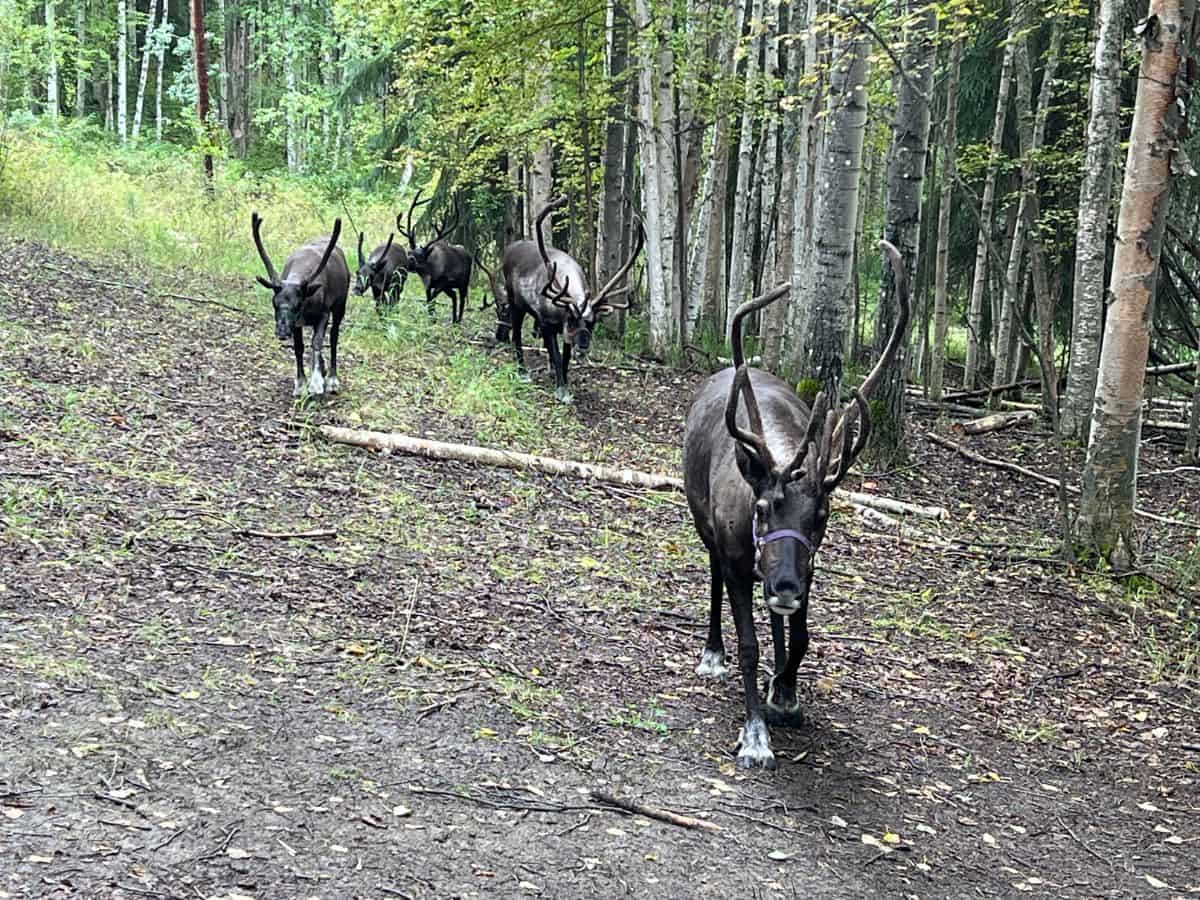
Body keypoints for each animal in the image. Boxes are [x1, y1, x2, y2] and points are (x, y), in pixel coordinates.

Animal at [251, 212, 350, 398]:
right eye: (274, 303)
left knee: (333, 337)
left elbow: (317, 342)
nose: (282, 331)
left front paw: (316, 384)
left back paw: (332, 379)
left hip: (340, 305)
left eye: (298, 305)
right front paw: (301, 385)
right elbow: (299, 348)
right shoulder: (296, 323)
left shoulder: (323, 314)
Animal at [397, 191, 473, 324]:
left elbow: (432, 299)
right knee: (454, 296)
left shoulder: (444, 282)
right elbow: (429, 301)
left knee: (462, 299)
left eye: (421, 256)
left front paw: (433, 318)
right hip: (450, 288)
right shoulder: (428, 286)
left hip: (464, 282)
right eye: (409, 252)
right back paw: (453, 320)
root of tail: (468, 254)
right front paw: (431, 319)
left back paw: (458, 320)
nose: (409, 262)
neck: (429, 272)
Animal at [501, 196, 644, 402]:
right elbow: (557, 354)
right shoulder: (547, 323)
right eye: (572, 319)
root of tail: (509, 249)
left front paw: (564, 382)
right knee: (516, 335)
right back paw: (522, 371)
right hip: (515, 303)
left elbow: (565, 357)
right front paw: (561, 389)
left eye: (592, 322)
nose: (584, 344)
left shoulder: (562, 331)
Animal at [681, 241, 909, 770]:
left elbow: (801, 636)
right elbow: (748, 644)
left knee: (778, 619)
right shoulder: (739, 561)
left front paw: (784, 693)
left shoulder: (808, 566)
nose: (785, 584)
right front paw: (755, 736)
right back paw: (712, 652)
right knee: (714, 582)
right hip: (707, 532)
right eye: (762, 508)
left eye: (821, 517)